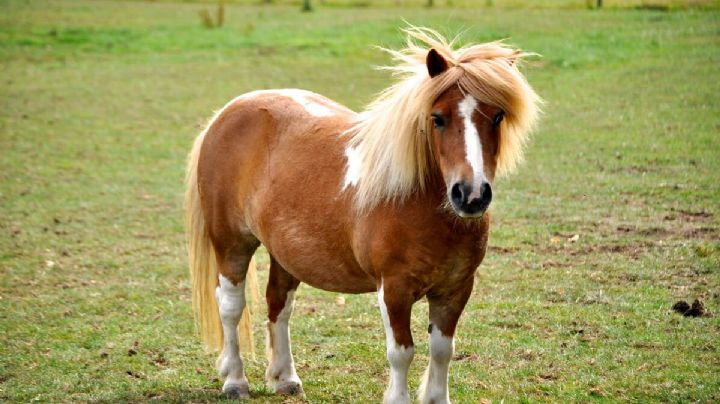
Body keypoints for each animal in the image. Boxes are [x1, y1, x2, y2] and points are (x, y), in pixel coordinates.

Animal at [185, 27, 541, 403]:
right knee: (230, 306)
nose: (471, 195)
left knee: (278, 303)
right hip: (231, 244)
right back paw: (235, 381)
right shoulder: (394, 289)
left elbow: (443, 350)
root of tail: (226, 112)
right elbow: (402, 352)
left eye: (498, 116)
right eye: (438, 118)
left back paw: (285, 378)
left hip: (284, 253)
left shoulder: (455, 289)